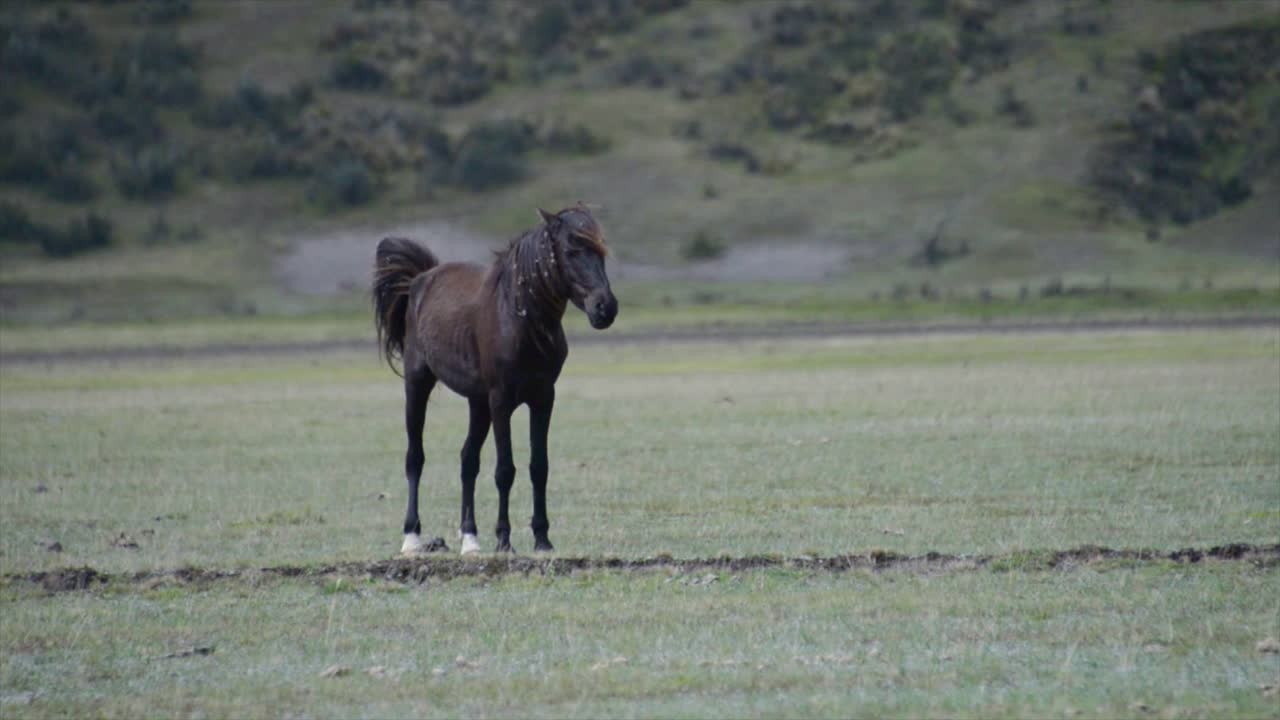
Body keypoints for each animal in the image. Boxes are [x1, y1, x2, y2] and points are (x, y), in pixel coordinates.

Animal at [372, 205, 617, 555]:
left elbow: (538, 467)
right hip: (419, 385)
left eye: (601, 251)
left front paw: (542, 539)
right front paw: (504, 540)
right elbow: (505, 470)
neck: (519, 318)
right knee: (415, 458)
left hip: (478, 404)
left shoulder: (543, 398)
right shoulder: (502, 401)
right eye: (572, 250)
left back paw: (470, 539)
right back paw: (412, 538)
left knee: (468, 460)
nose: (605, 308)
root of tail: (421, 279)